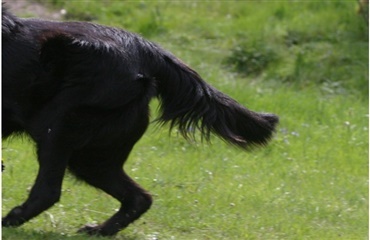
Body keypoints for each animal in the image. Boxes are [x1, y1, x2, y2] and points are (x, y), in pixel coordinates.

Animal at [1, 7, 278, 236]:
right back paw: (101, 230)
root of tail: (147, 49)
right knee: (139, 198)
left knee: (48, 190)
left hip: (57, 127)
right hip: (92, 155)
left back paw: (11, 220)